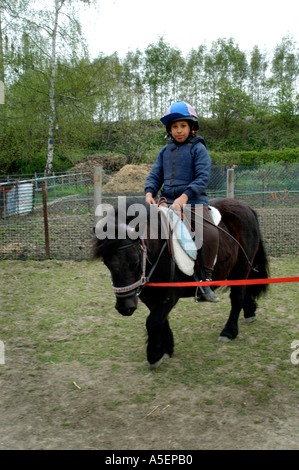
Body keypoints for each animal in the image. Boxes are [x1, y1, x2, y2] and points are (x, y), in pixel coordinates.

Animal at [93, 196, 270, 370]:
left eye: (135, 262)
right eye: (106, 263)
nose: (125, 308)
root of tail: (246, 207)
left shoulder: (170, 295)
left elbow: (153, 322)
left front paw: (154, 356)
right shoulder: (151, 295)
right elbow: (161, 320)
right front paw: (166, 349)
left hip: (242, 267)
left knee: (237, 297)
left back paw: (228, 331)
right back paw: (250, 312)